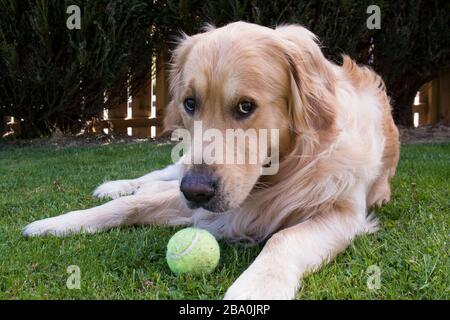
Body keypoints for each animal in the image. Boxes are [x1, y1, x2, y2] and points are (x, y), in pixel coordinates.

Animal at [22, 22, 400, 300]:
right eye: (190, 103)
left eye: (246, 106)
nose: (196, 191)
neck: (275, 177)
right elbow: (128, 206)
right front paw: (59, 222)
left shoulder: (343, 212)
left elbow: (284, 238)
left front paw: (256, 287)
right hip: (183, 166)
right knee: (159, 176)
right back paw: (117, 186)